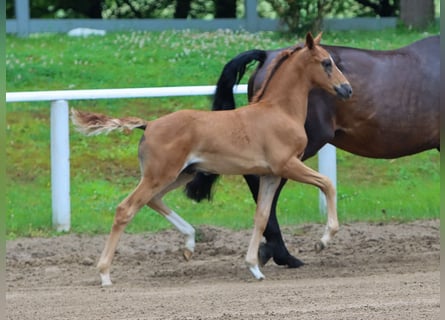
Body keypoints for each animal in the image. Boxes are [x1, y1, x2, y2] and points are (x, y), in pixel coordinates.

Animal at [71, 33, 352, 284]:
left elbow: (261, 217)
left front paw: (253, 268)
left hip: (181, 174)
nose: (347, 89)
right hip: (160, 174)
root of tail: (148, 125)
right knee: (126, 209)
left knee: (153, 200)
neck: (279, 111)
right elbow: (327, 183)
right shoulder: (288, 165)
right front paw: (323, 240)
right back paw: (105, 274)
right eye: (326, 62)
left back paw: (189, 244)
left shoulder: (270, 174)